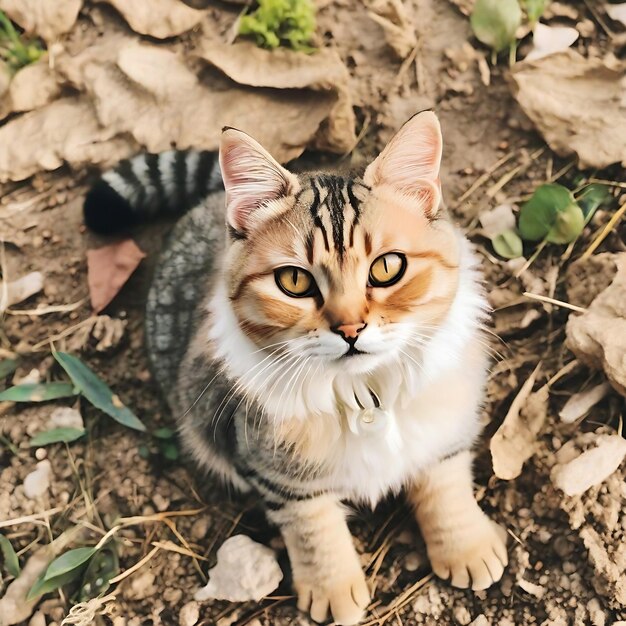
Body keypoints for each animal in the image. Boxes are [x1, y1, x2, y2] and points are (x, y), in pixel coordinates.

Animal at [83, 112, 504, 624]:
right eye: (294, 281)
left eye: (387, 268)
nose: (350, 329)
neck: (364, 392)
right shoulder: (278, 472)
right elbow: (313, 529)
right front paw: (332, 589)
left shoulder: (446, 428)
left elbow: (446, 487)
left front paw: (466, 546)